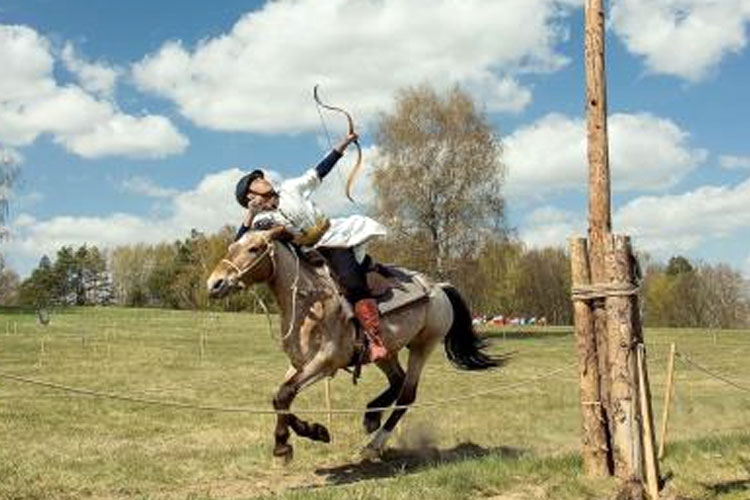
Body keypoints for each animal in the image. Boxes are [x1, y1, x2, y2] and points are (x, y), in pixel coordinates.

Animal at [206, 227, 506, 460]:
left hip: (423, 345)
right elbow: (279, 397)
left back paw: (374, 444)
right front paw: (314, 431)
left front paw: (283, 446)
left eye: (254, 248)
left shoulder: (325, 363)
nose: (214, 283)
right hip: (385, 352)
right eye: (232, 246)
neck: (310, 302)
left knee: (407, 394)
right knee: (397, 382)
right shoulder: (300, 364)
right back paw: (371, 416)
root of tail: (439, 287)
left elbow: (283, 395)